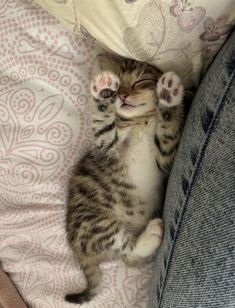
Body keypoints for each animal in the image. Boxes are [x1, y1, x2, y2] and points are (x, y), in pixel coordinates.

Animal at [65, 56, 185, 304]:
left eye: (140, 81)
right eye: (118, 85)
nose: (121, 95)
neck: (140, 122)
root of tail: (79, 251)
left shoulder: (166, 159)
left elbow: (168, 131)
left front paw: (168, 96)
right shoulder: (106, 149)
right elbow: (104, 128)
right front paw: (103, 93)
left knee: (128, 257)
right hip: (95, 223)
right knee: (125, 247)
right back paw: (150, 236)